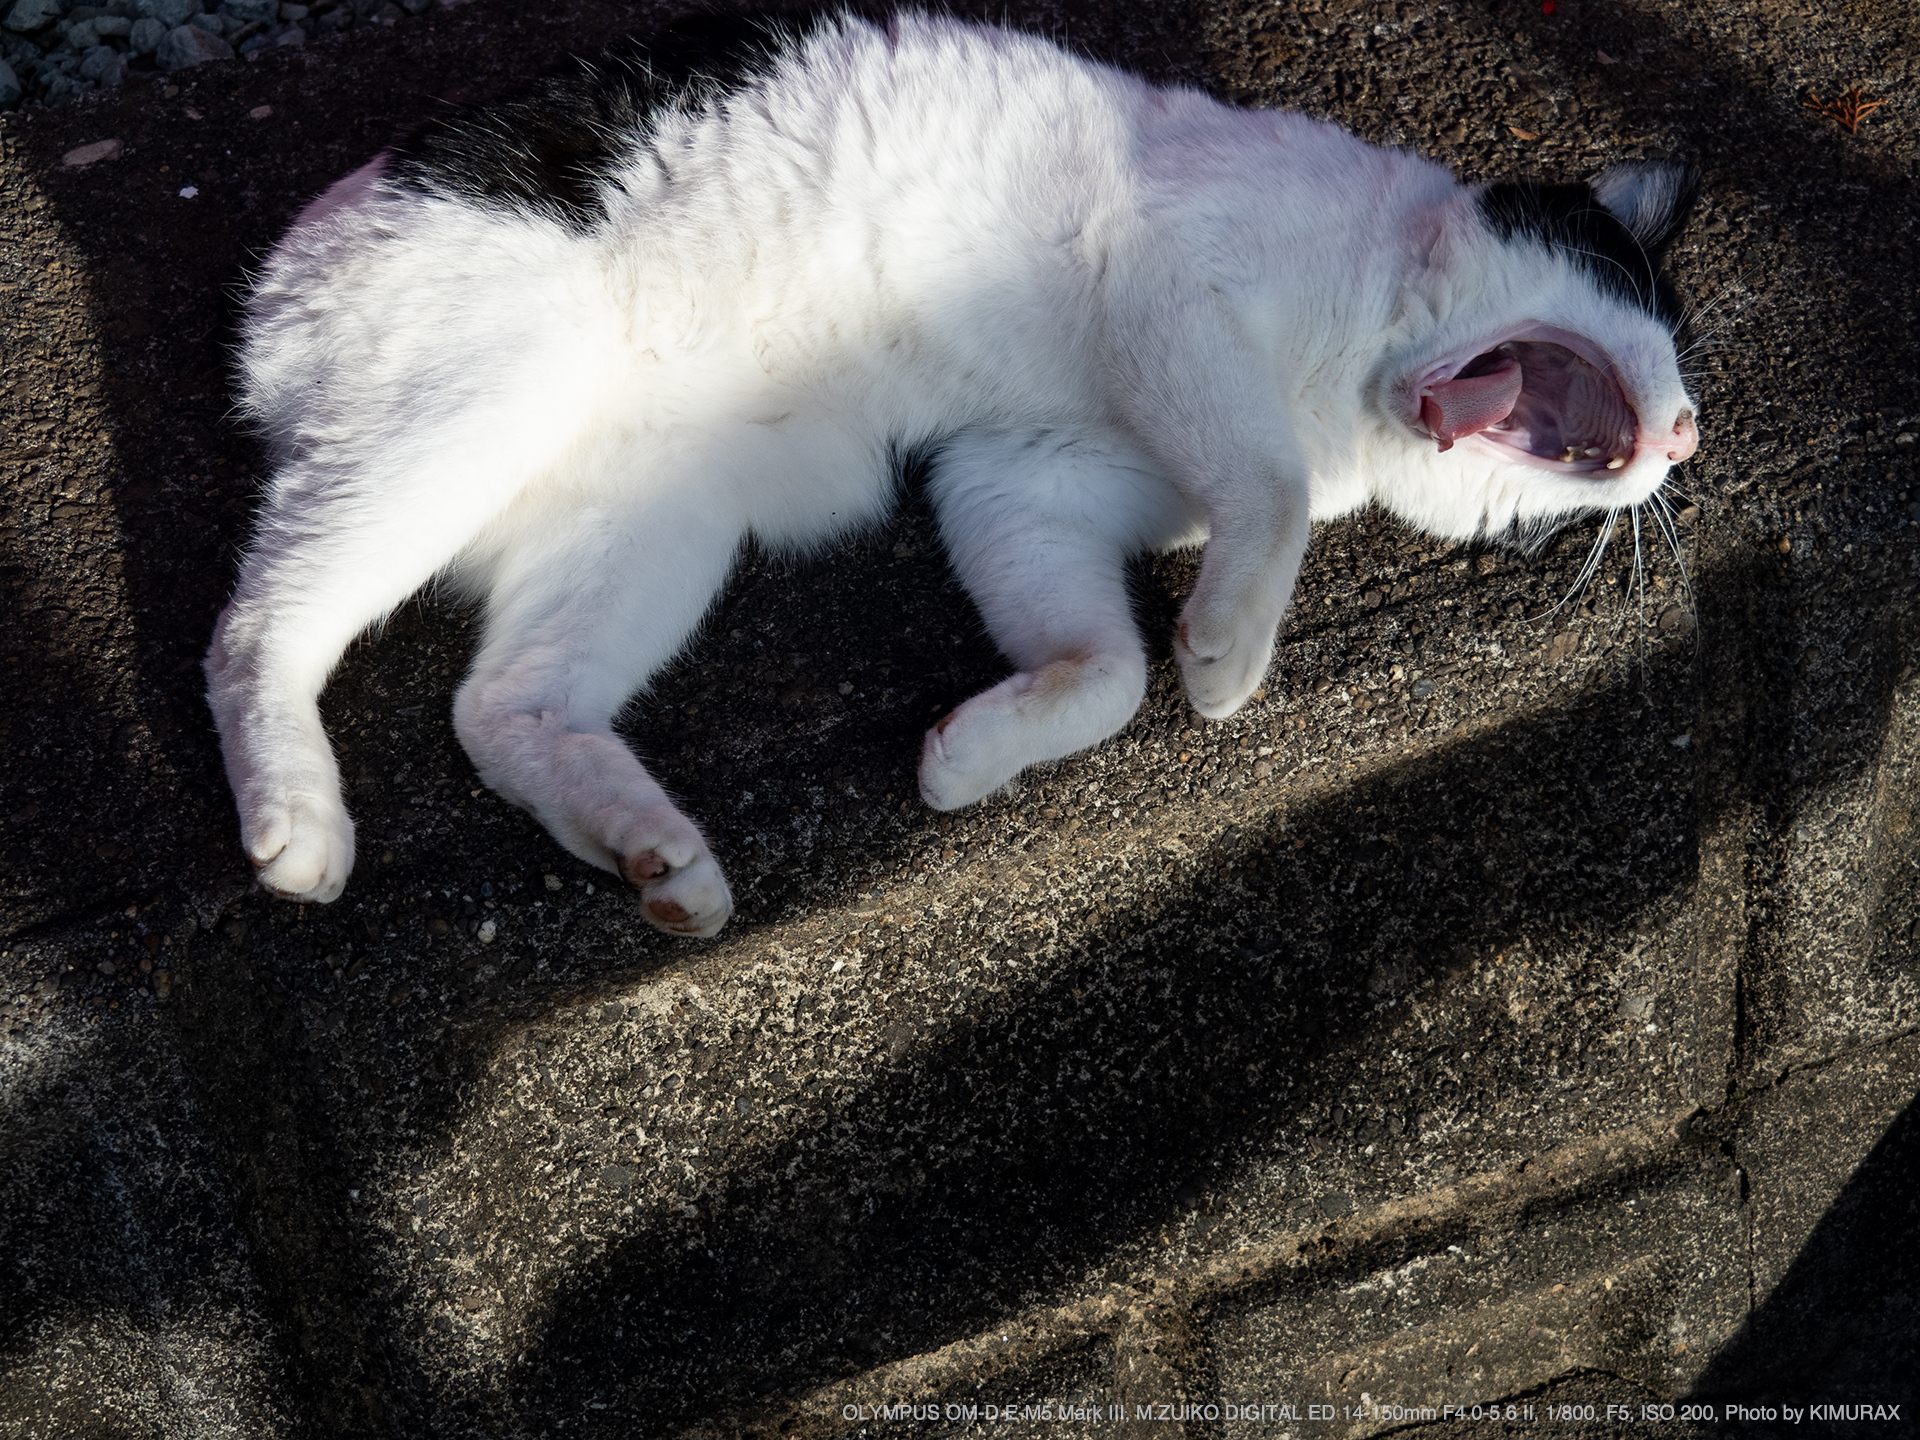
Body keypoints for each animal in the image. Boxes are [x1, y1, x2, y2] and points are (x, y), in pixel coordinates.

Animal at [206, 16, 1697, 940]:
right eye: (1649, 310)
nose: (1686, 437)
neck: (1350, 378)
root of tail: (284, 269)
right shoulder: (1163, 282)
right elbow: (1264, 495)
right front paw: (1229, 655)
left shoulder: (1016, 474)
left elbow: (1105, 674)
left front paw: (976, 755)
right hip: (475, 410)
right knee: (254, 628)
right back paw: (297, 821)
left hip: (652, 525)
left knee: (498, 707)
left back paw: (653, 854)